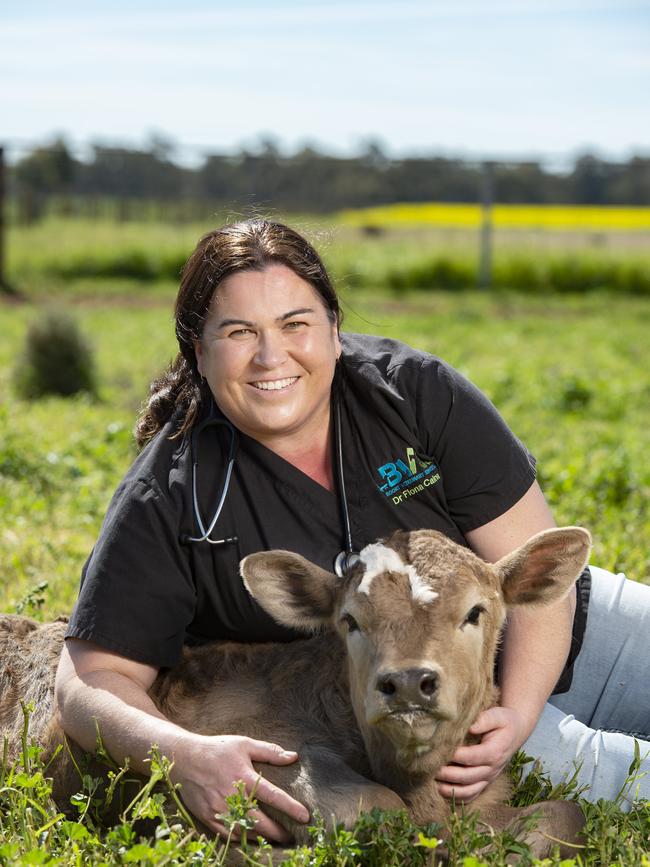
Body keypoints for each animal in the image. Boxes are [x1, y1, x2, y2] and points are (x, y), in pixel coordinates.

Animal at [0, 524, 588, 856]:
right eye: (349, 621)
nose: (406, 682)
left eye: (475, 612)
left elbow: (567, 814)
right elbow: (369, 807)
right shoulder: (259, 754)